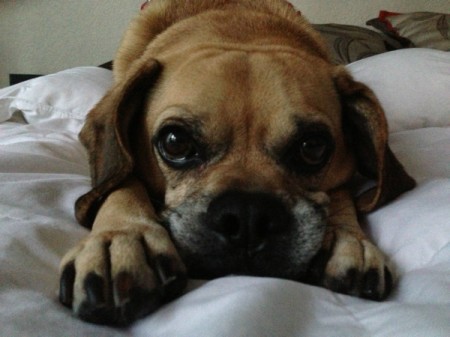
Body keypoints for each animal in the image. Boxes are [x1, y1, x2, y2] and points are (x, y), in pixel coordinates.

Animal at [59, 0, 414, 326]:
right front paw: (123, 238)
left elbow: (338, 194)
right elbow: (120, 181)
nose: (248, 216)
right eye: (175, 142)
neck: (236, 24)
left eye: (312, 147)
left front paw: (346, 238)